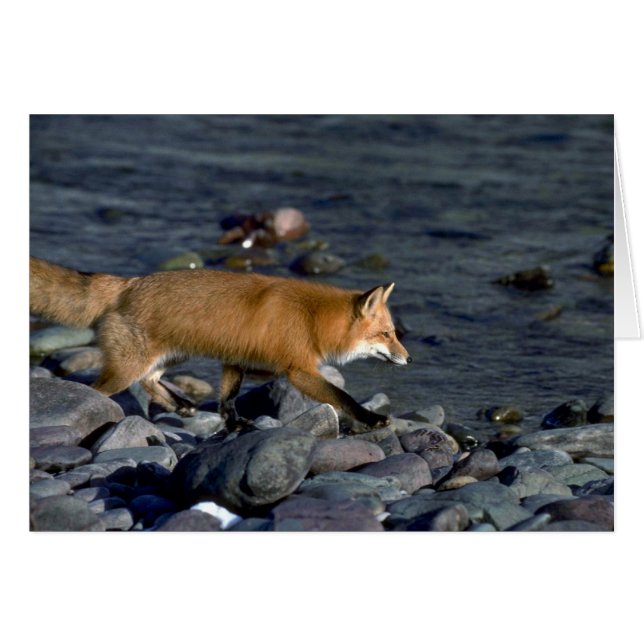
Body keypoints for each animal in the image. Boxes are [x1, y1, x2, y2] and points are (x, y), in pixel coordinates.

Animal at [30, 256, 411, 429]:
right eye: (387, 334)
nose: (408, 359)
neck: (311, 318)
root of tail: (128, 282)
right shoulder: (299, 371)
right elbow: (341, 396)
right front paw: (371, 419)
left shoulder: (236, 358)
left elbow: (229, 397)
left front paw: (235, 424)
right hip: (126, 368)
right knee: (100, 390)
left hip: (171, 356)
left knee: (150, 379)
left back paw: (182, 406)